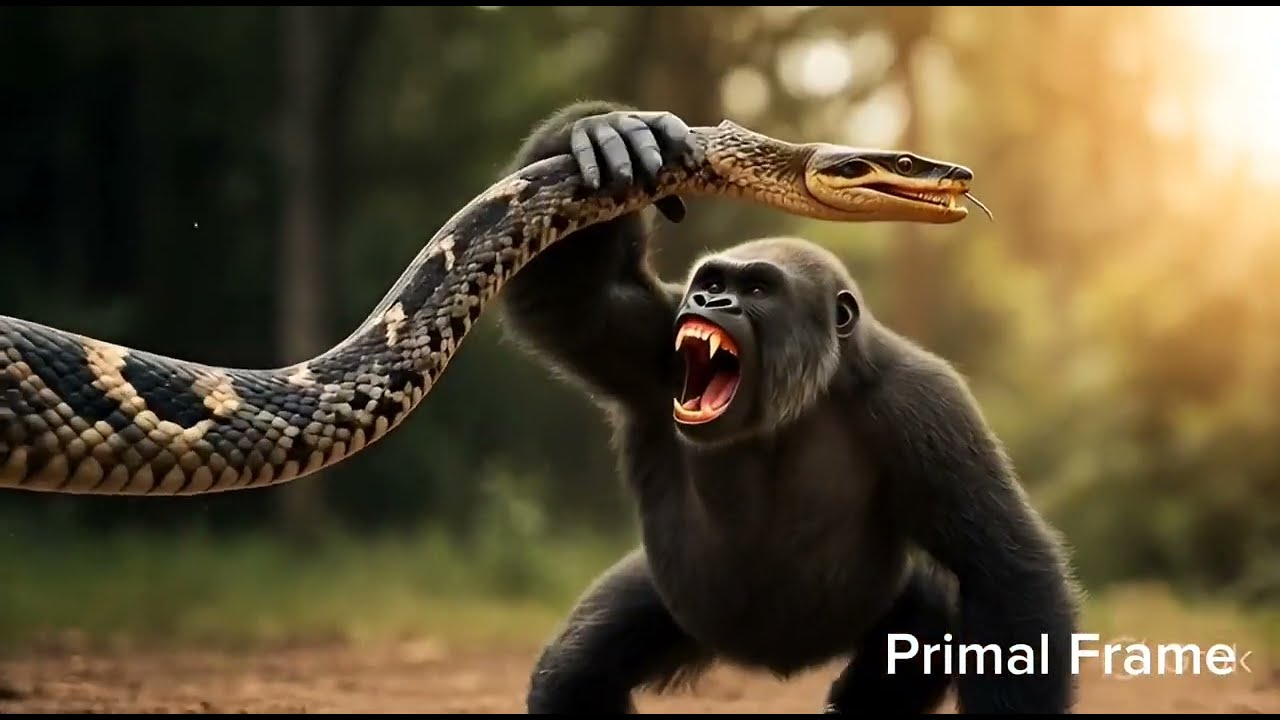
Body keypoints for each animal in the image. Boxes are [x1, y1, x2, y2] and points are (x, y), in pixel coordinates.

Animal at [498, 100, 1080, 714]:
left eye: (756, 289)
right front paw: (610, 132)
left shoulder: (926, 403)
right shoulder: (644, 335)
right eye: (712, 283)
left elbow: (1002, 568)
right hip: (672, 604)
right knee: (579, 666)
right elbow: (569, 302)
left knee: (927, 621)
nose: (712, 301)